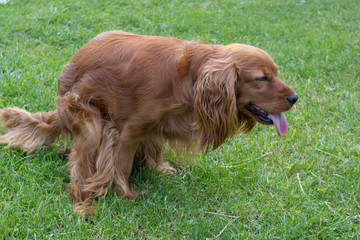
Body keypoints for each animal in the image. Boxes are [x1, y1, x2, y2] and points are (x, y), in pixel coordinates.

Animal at [0, 30, 298, 216]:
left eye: (276, 73)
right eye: (261, 78)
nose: (295, 98)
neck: (189, 76)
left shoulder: (154, 124)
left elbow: (154, 146)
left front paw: (160, 168)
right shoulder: (126, 131)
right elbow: (120, 165)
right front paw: (125, 194)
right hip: (87, 119)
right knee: (80, 169)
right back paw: (84, 204)